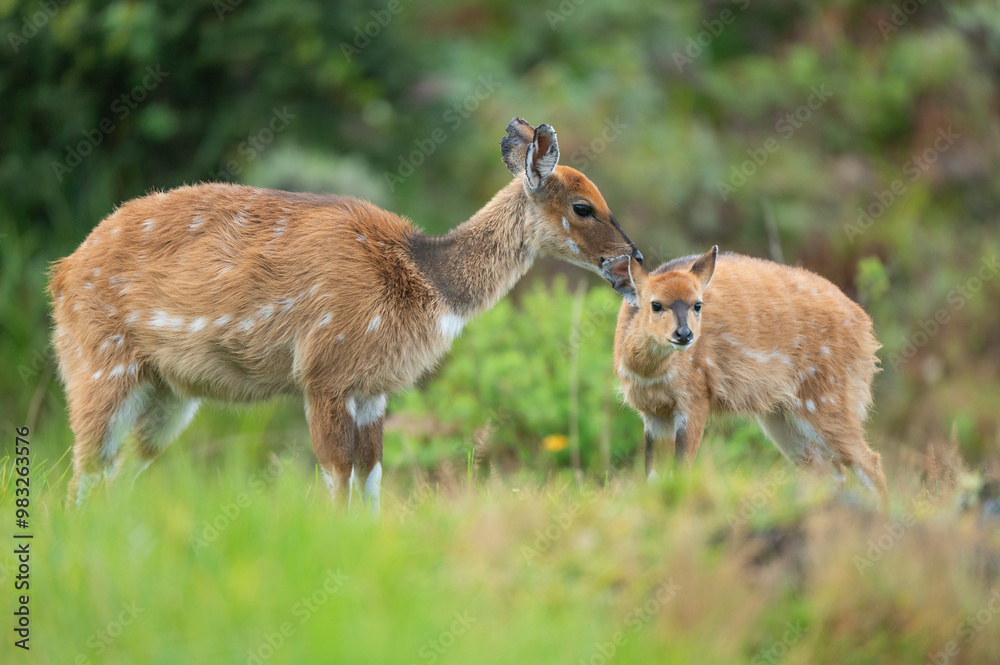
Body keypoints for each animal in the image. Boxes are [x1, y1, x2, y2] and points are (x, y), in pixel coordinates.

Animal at [49, 118, 643, 513]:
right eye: (583, 206)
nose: (632, 259)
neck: (425, 282)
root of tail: (61, 274)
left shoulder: (373, 389)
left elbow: (371, 477)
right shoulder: (324, 374)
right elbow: (337, 477)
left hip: (169, 394)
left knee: (120, 471)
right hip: (99, 366)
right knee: (84, 469)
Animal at [614, 247, 887, 507]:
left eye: (697, 304)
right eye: (656, 304)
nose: (684, 335)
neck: (650, 374)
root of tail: (866, 329)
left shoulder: (694, 399)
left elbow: (680, 471)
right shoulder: (654, 413)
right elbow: (653, 478)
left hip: (826, 400)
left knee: (869, 461)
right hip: (782, 417)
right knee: (829, 470)